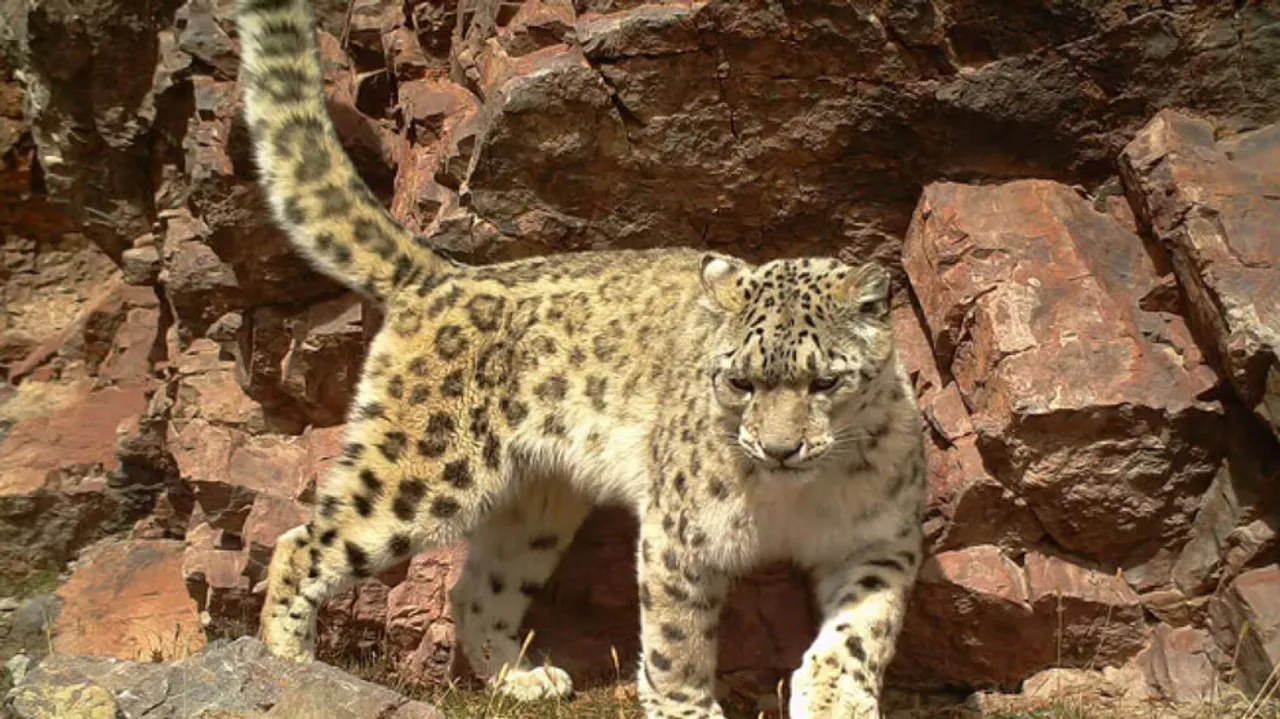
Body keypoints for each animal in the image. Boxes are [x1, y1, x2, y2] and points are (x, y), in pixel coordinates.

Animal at [236, 1, 927, 716]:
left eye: (825, 382)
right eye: (741, 382)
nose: (780, 449)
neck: (797, 503)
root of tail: (445, 274)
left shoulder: (881, 538)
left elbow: (861, 631)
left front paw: (838, 698)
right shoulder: (680, 536)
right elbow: (677, 641)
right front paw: (689, 707)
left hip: (534, 505)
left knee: (478, 586)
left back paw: (523, 678)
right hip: (423, 471)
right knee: (303, 544)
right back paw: (290, 668)